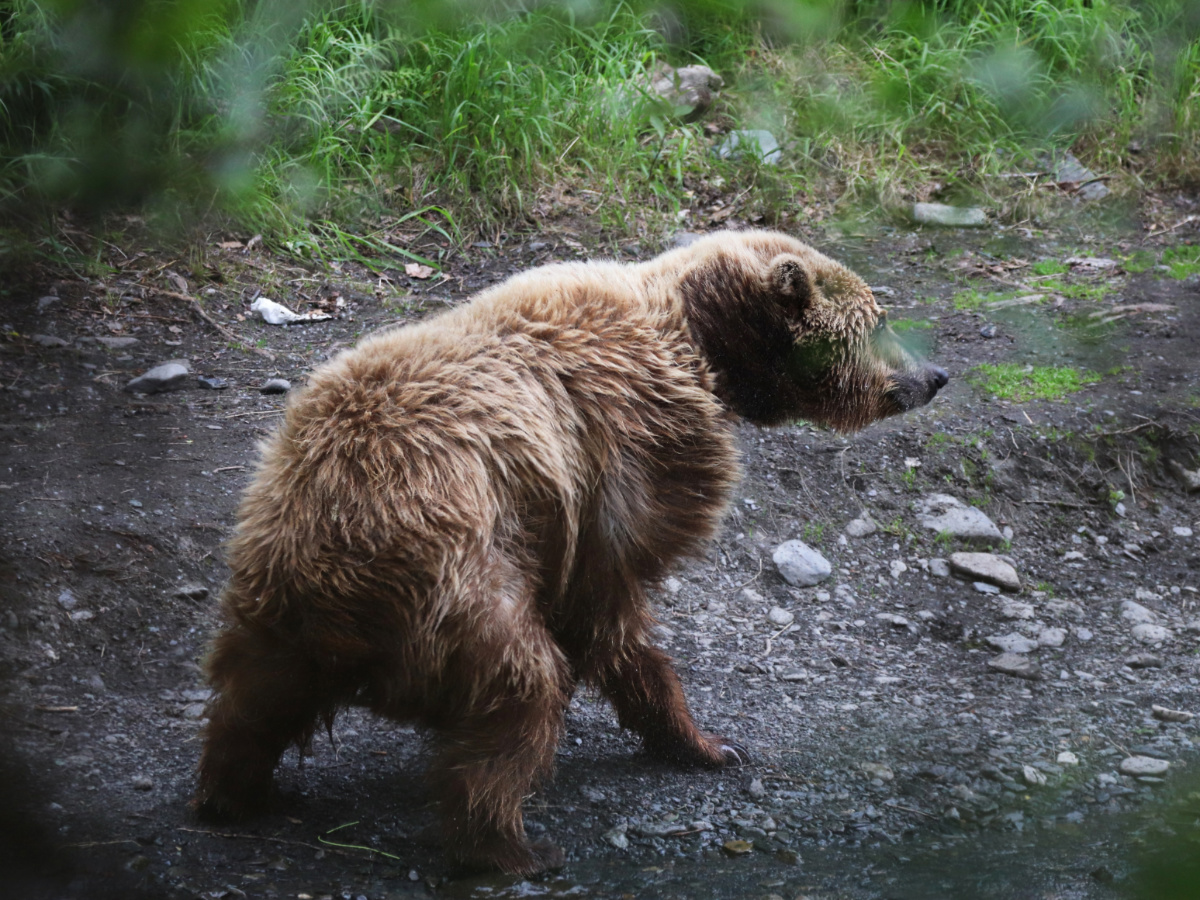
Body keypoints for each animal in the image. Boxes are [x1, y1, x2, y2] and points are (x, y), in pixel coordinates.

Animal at [196, 229, 945, 878]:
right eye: (880, 319)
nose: (935, 375)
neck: (708, 346)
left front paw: (705, 741)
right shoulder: (629, 448)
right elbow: (610, 605)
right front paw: (706, 741)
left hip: (275, 595)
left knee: (252, 700)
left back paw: (232, 791)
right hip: (456, 581)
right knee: (518, 696)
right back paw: (509, 846)